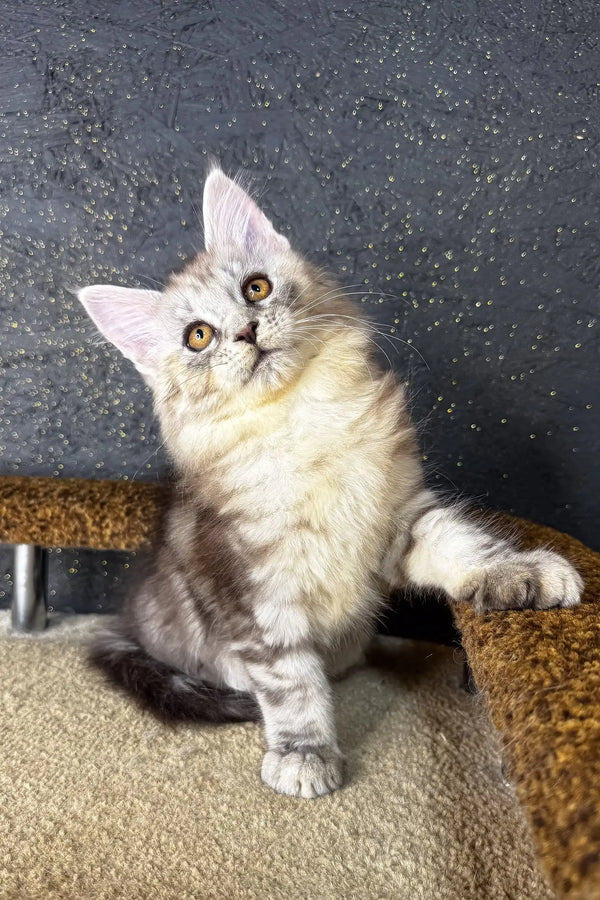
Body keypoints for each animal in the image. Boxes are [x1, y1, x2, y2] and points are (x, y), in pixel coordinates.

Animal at [77, 165, 584, 800]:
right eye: (198, 336)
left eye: (256, 289)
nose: (245, 331)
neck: (303, 421)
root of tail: (125, 620)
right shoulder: (252, 588)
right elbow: (292, 682)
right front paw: (304, 753)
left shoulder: (401, 516)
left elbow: (465, 546)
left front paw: (523, 574)